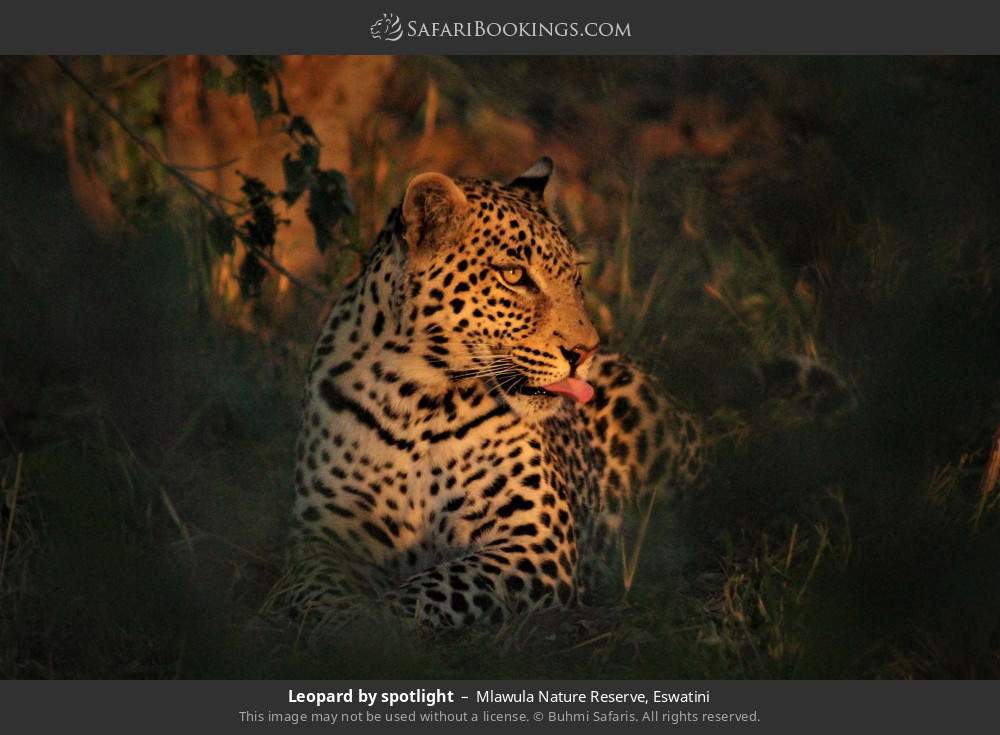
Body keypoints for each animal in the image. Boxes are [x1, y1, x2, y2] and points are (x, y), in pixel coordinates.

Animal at [286, 157, 708, 628]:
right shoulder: (323, 533)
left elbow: (433, 589)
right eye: (513, 275)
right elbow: (313, 587)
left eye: (576, 277)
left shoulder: (534, 540)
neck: (415, 401)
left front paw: (377, 623)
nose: (585, 351)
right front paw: (339, 623)